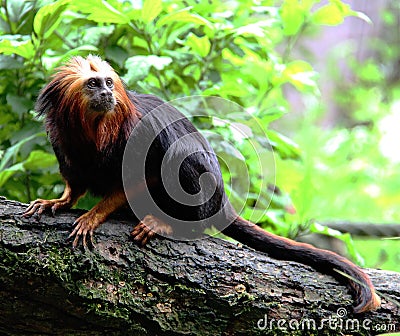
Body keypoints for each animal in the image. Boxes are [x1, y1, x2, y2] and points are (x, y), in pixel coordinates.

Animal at [22, 53, 382, 314]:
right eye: (93, 84)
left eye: (109, 82)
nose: (108, 93)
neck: (95, 130)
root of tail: (220, 202)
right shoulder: (62, 139)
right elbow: (75, 180)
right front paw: (61, 201)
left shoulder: (134, 136)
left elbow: (140, 176)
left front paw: (95, 214)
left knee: (180, 156)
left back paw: (168, 222)